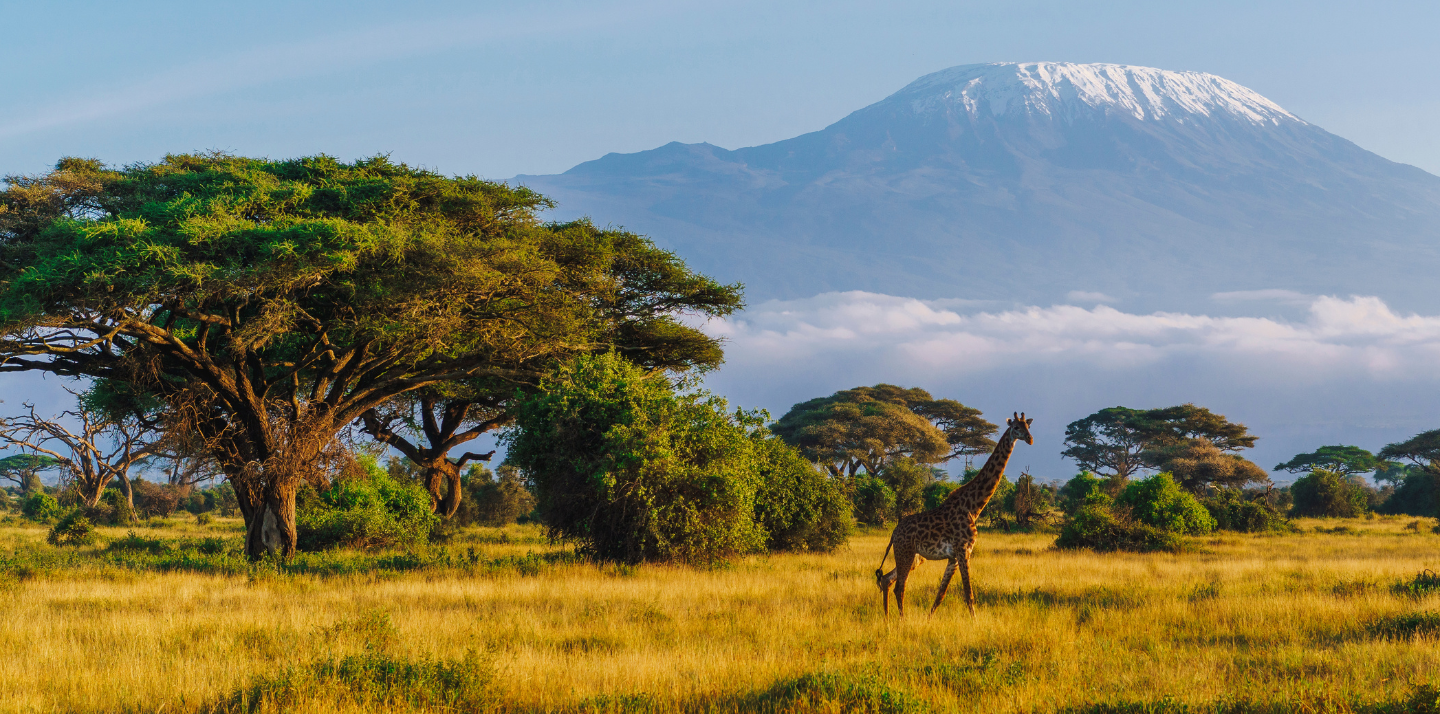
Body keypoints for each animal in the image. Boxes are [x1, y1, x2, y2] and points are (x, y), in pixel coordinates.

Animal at [875, 412, 1033, 617]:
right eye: (1016, 427)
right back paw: (901, 620)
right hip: (905, 552)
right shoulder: (963, 550)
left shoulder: (953, 557)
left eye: (1028, 426)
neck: (973, 507)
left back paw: (887, 619)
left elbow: (940, 595)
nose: (1029, 439)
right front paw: (975, 622)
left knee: (887, 579)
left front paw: (928, 620)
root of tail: (894, 533)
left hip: (915, 557)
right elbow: (969, 595)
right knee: (899, 587)